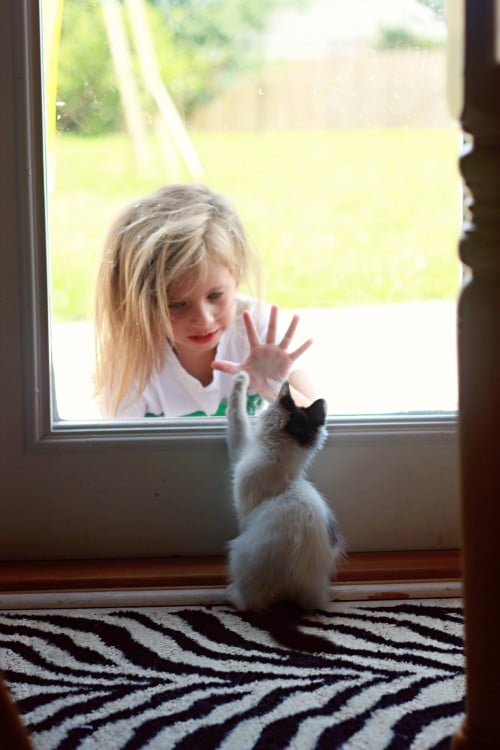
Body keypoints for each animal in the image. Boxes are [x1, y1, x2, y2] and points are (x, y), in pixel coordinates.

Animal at [227, 374, 344, 612]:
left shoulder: (241, 467)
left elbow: (237, 419)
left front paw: (240, 380)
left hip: (237, 553)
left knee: (250, 603)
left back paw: (232, 595)